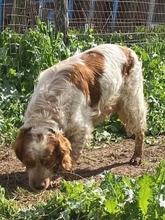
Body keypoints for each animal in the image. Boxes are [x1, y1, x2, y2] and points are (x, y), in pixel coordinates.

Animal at [12, 44, 147, 191]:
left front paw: (59, 177)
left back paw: (137, 156)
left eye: (48, 162)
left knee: (140, 129)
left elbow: (70, 157)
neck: (48, 109)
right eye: (28, 162)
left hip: (131, 102)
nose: (38, 186)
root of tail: (125, 48)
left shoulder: (81, 130)